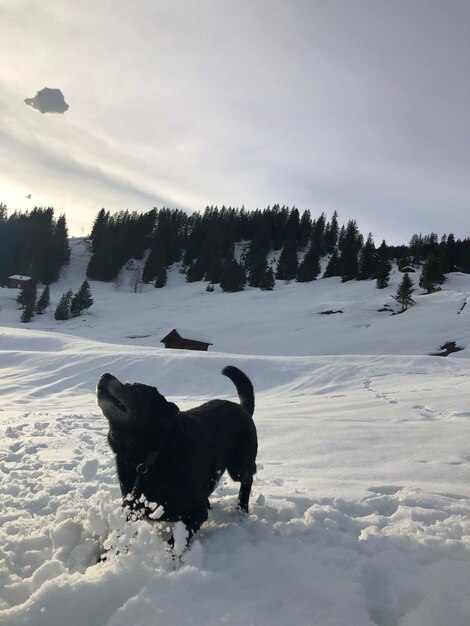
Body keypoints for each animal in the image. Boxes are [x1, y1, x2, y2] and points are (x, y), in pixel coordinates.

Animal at [96, 366, 258, 540]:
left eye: (137, 390)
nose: (105, 375)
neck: (152, 455)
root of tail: (243, 409)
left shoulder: (196, 512)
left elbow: (176, 542)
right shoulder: (132, 507)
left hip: (238, 467)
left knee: (248, 477)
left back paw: (242, 509)